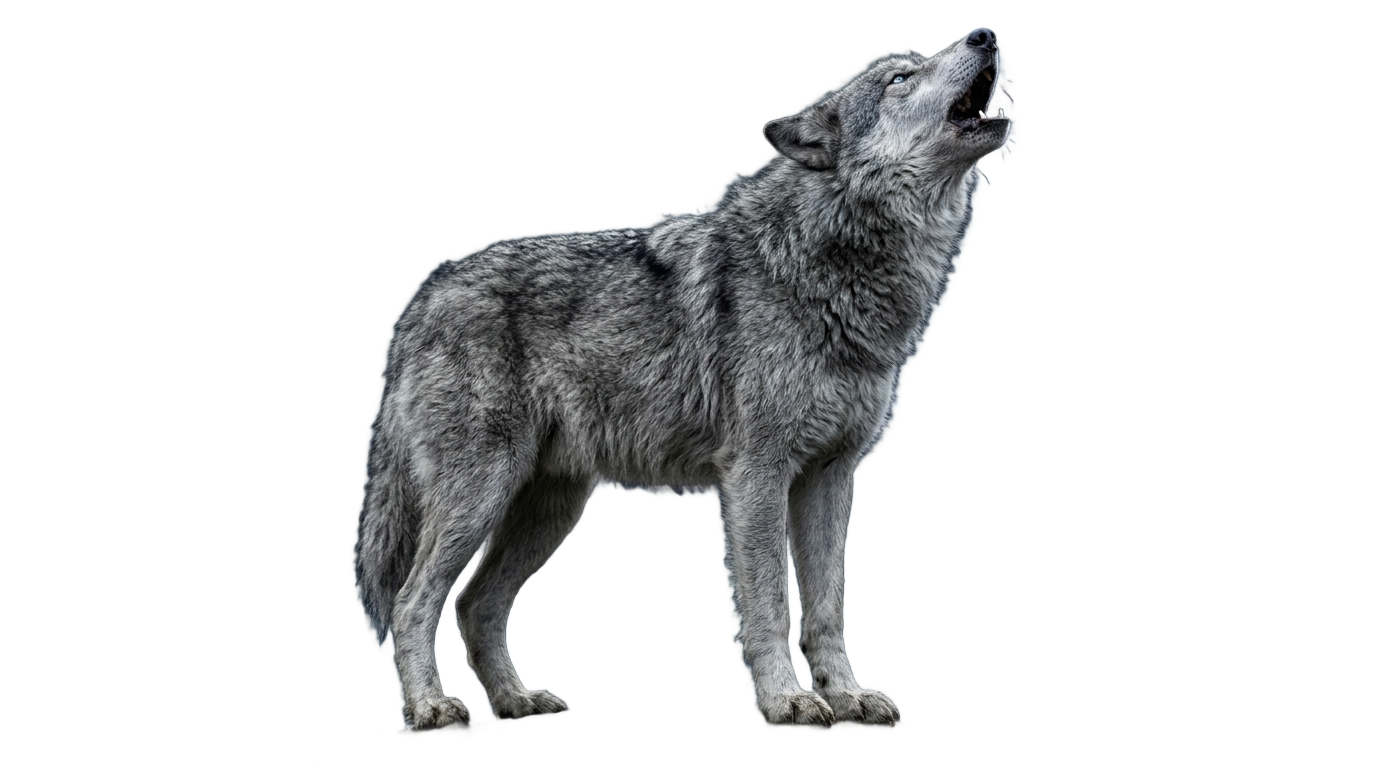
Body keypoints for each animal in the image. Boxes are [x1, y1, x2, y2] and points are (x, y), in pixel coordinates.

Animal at [357, 28, 1008, 728]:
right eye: (900, 79)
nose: (984, 34)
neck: (827, 261)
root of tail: (423, 300)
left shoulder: (830, 475)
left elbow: (828, 607)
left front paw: (847, 695)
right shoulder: (756, 474)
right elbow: (770, 602)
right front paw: (787, 699)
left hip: (548, 506)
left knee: (474, 603)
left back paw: (516, 700)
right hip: (480, 499)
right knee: (413, 601)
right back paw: (431, 707)